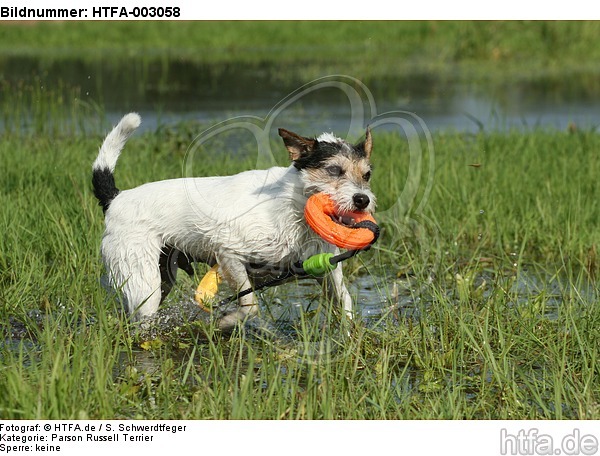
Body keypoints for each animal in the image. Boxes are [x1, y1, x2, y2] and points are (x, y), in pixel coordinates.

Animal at [92, 112, 376, 330]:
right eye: (334, 170)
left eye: (367, 175)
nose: (363, 200)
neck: (293, 206)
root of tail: (117, 199)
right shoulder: (229, 253)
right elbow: (250, 307)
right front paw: (224, 322)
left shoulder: (326, 271)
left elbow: (345, 302)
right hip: (143, 283)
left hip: (163, 278)